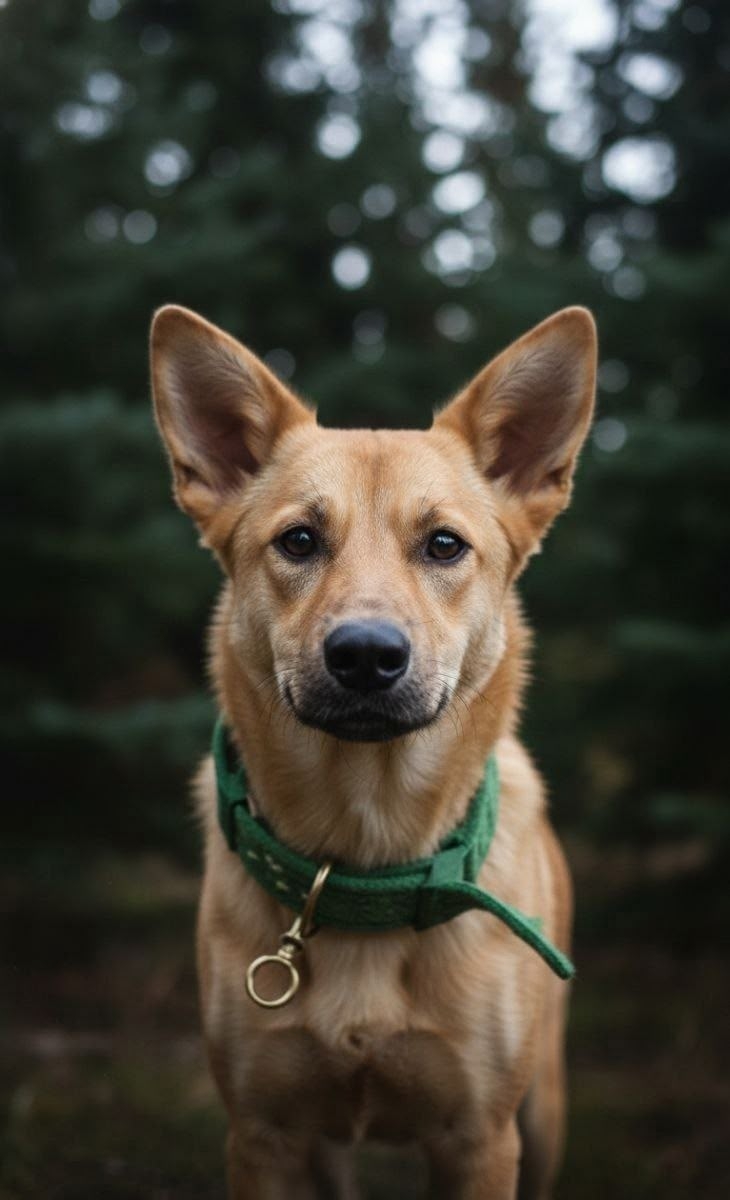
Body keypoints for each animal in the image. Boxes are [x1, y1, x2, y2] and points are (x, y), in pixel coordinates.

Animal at [150, 302, 597, 1199]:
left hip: (545, 1109)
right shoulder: (264, 1136)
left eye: (445, 546)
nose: (363, 654)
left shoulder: (481, 1140)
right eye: (298, 540)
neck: (367, 858)